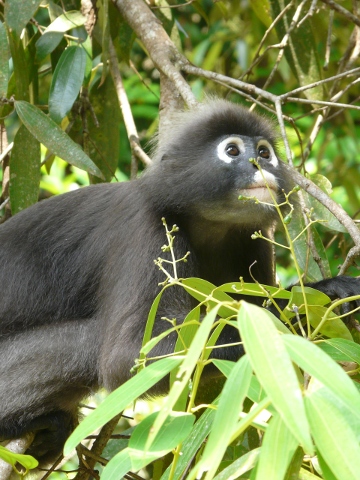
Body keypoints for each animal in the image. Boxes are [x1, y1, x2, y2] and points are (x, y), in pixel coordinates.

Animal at [0, 99, 358, 464]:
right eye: (232, 150)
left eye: (264, 151)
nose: (260, 163)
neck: (210, 226)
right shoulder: (145, 227)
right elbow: (130, 356)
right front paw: (297, 315)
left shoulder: (250, 238)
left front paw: (326, 292)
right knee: (87, 340)